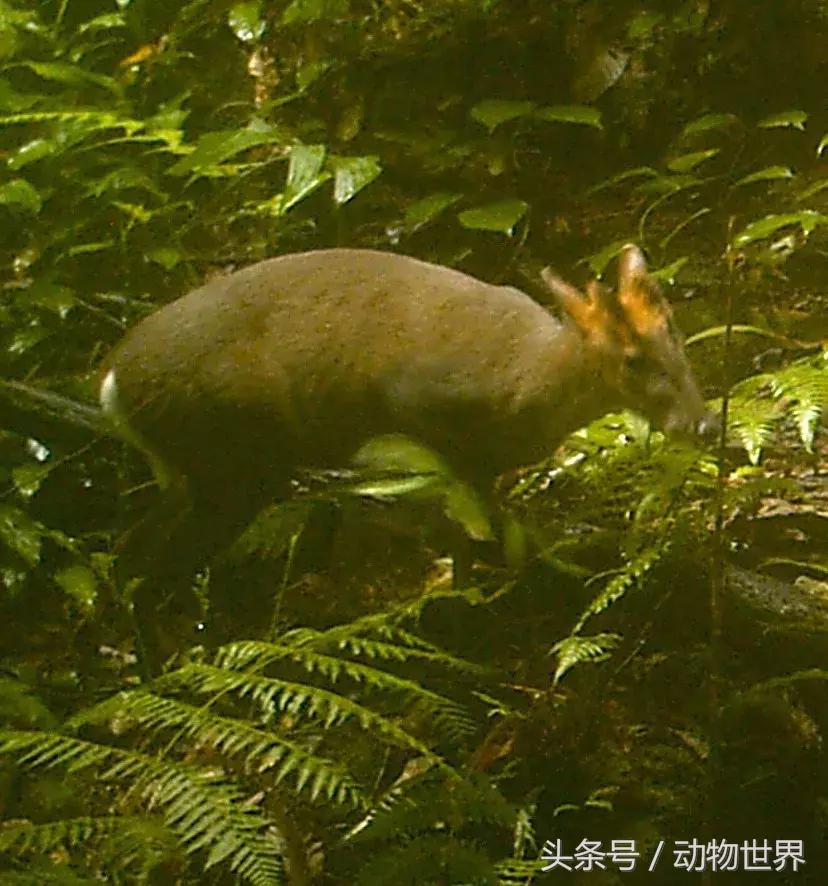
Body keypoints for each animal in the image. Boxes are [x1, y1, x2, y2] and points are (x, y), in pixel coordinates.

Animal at [100, 244, 716, 670]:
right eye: (633, 358)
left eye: (674, 333)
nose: (703, 422)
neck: (529, 384)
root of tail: (111, 385)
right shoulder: (421, 419)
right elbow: (463, 540)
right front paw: (467, 630)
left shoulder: (485, 470)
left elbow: (502, 538)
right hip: (232, 465)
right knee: (151, 568)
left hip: (192, 472)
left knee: (126, 553)